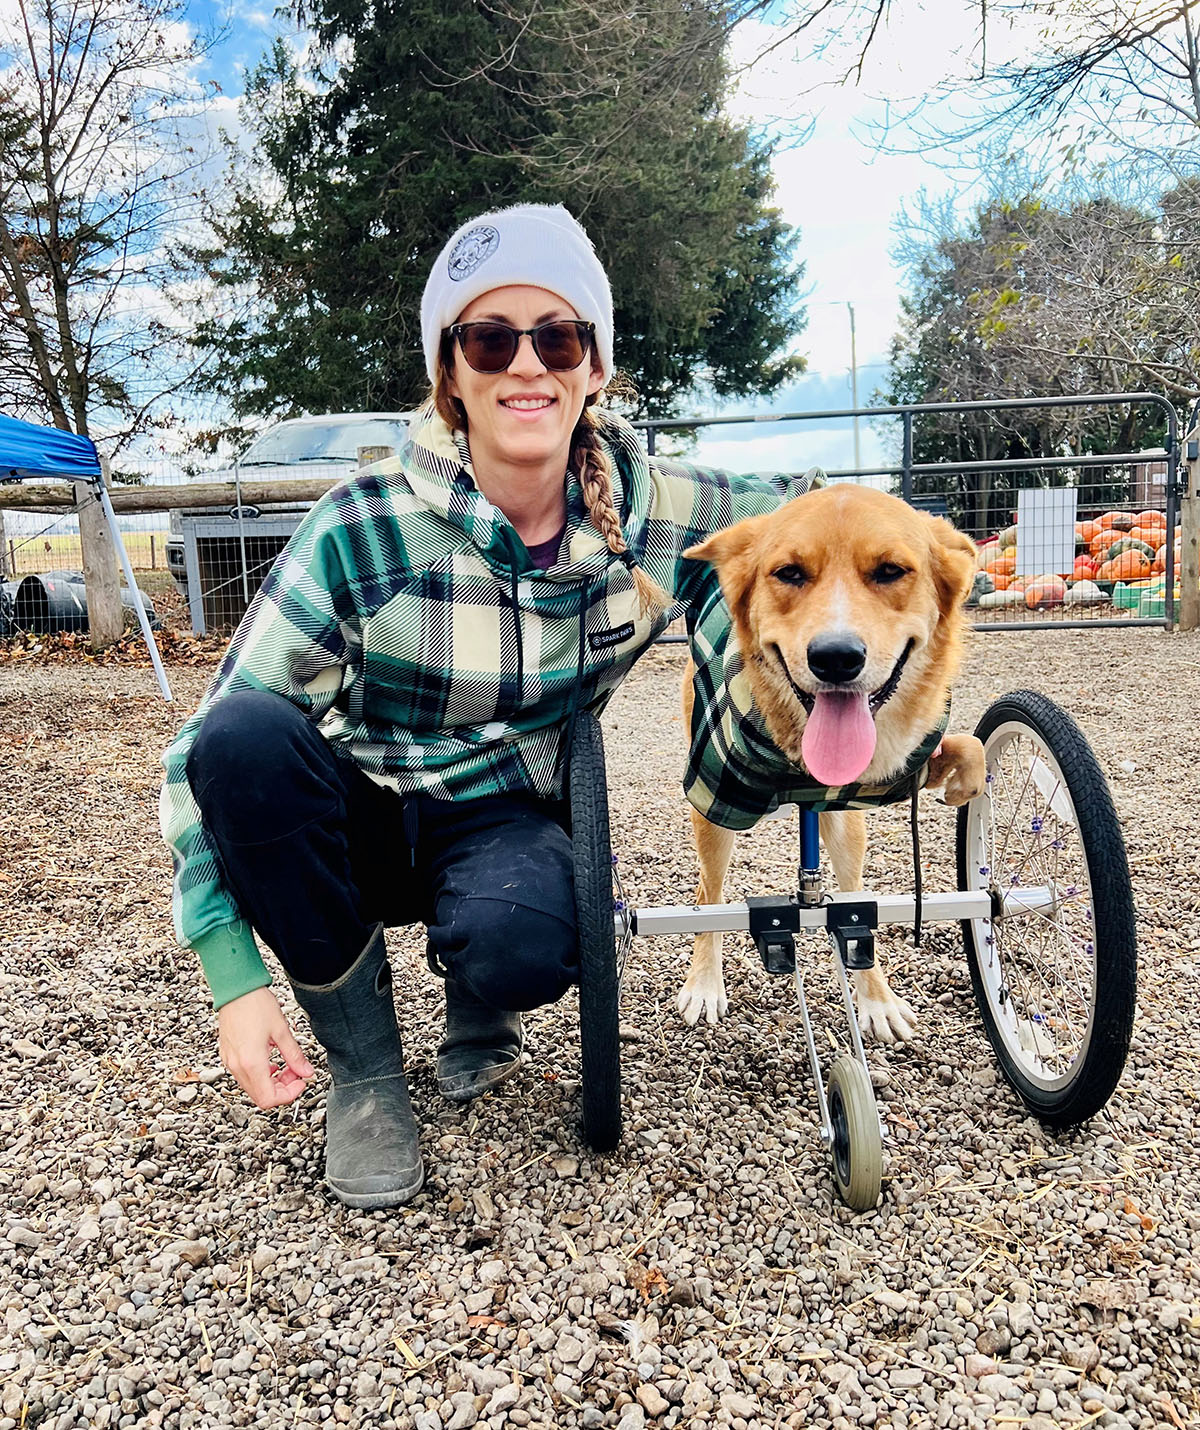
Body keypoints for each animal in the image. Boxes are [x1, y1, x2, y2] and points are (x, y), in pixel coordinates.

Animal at [675, 483, 984, 1041]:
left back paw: (876, 997)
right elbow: (710, 900)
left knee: (853, 895)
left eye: (890, 570)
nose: (835, 657)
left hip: (844, 825)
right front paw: (704, 984)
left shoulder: (891, 772)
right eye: (789, 573)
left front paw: (963, 785)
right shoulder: (714, 798)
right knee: (710, 890)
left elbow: (970, 748)